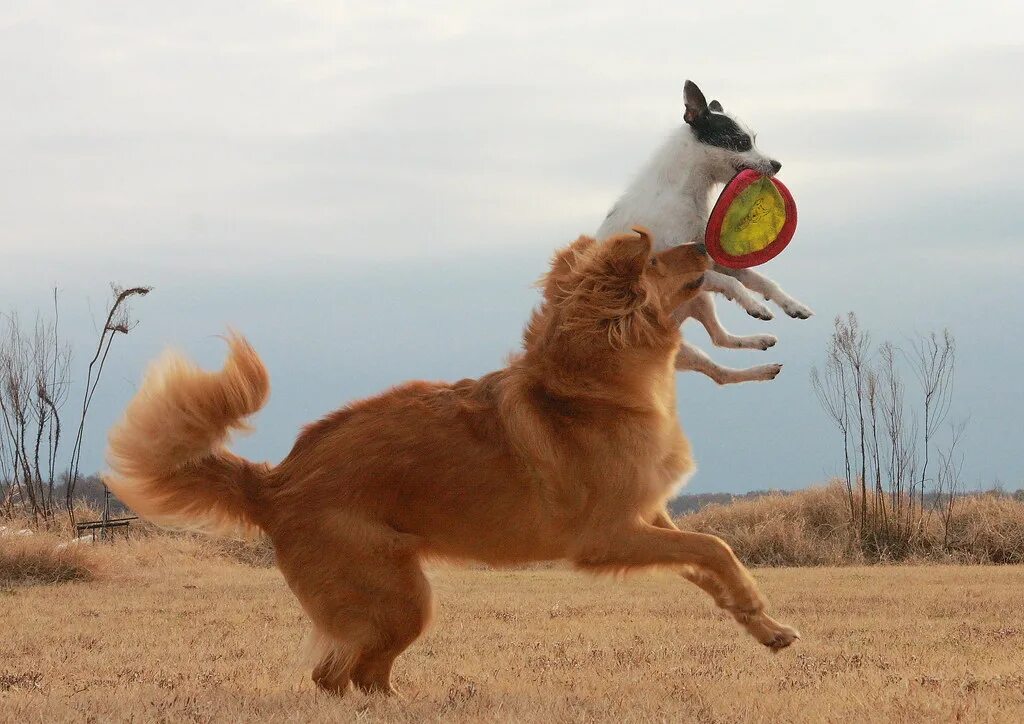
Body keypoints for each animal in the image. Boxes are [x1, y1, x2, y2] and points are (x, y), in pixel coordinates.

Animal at [598, 79, 806, 385]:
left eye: (754, 139)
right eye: (741, 142)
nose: (777, 164)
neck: (682, 192)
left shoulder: (709, 260)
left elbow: (760, 281)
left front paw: (790, 304)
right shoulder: (673, 272)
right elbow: (733, 283)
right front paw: (755, 305)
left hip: (698, 304)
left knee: (720, 346)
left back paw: (762, 351)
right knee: (719, 367)